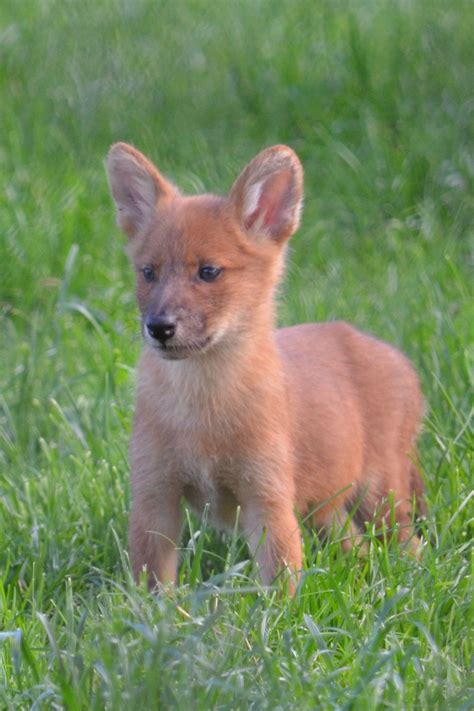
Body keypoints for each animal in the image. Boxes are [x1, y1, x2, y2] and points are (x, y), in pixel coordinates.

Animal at [105, 142, 424, 592]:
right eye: (148, 272)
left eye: (208, 271)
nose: (159, 327)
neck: (203, 411)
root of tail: (395, 356)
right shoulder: (155, 498)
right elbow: (152, 591)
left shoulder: (266, 499)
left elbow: (282, 586)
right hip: (325, 508)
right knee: (357, 549)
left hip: (380, 493)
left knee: (409, 547)